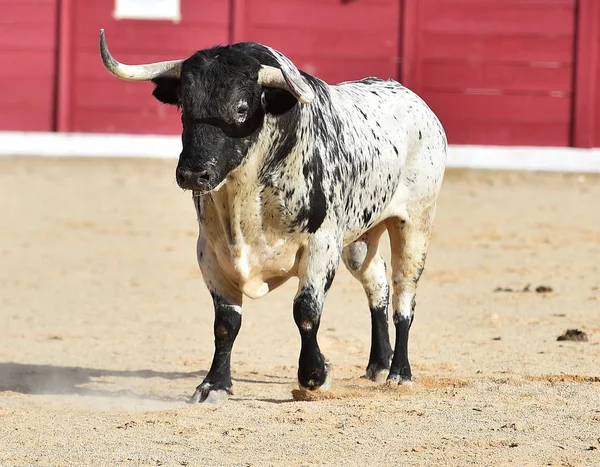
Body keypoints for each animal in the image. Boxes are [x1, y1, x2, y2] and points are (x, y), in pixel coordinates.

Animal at [99, 29, 446, 404]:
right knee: (377, 283)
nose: (193, 174)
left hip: (415, 224)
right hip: (359, 237)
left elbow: (306, 311)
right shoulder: (210, 252)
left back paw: (400, 372)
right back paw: (378, 365)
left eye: (241, 108)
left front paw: (314, 376)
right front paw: (213, 384)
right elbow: (226, 322)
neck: (243, 198)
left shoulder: (322, 244)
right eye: (184, 107)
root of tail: (418, 105)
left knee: (404, 293)